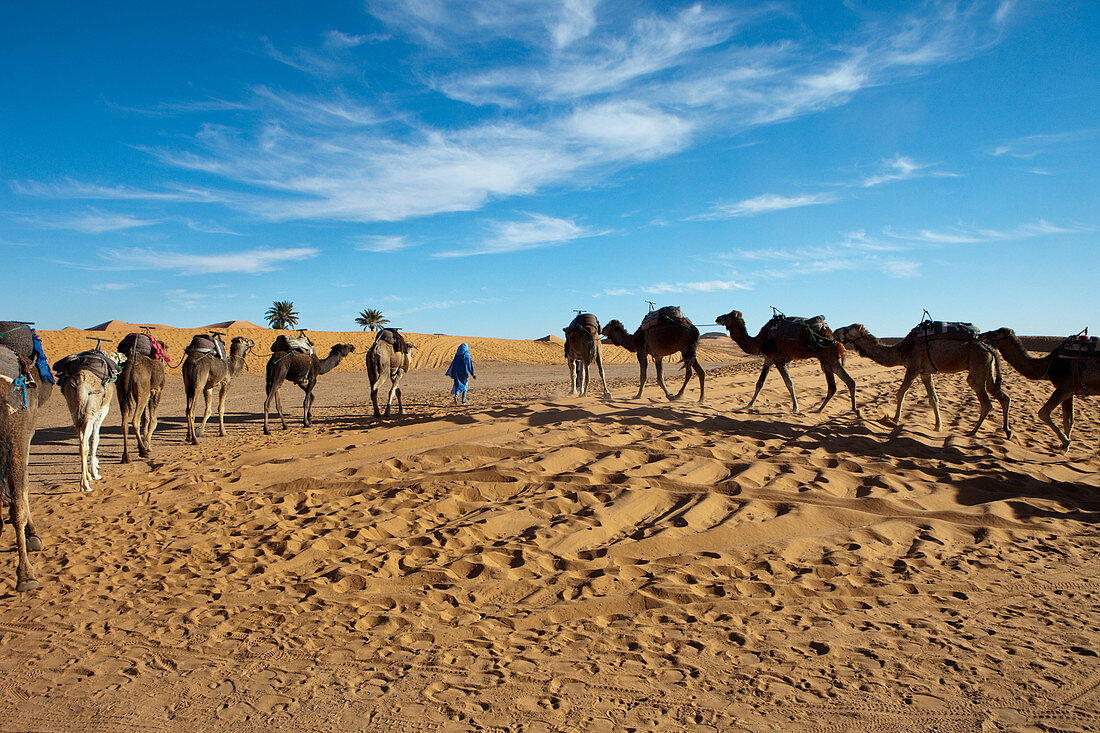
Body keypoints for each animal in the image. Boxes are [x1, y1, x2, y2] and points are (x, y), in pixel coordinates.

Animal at [712, 305, 858, 413]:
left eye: (728, 316)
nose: (718, 318)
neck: (759, 340)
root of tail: (831, 335)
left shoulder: (778, 359)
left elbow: (789, 383)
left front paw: (795, 407)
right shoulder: (768, 359)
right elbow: (760, 383)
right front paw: (749, 405)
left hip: (827, 358)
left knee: (838, 384)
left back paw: (841, 410)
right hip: (828, 359)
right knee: (844, 383)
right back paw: (845, 410)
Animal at [831, 323, 1007, 433]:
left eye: (848, 329)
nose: (835, 331)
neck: (901, 350)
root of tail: (990, 348)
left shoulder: (913, 368)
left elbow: (900, 393)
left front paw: (894, 419)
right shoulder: (925, 372)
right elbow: (933, 398)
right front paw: (938, 426)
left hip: (978, 366)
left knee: (986, 402)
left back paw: (973, 432)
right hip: (987, 369)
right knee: (1002, 397)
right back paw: (1007, 431)